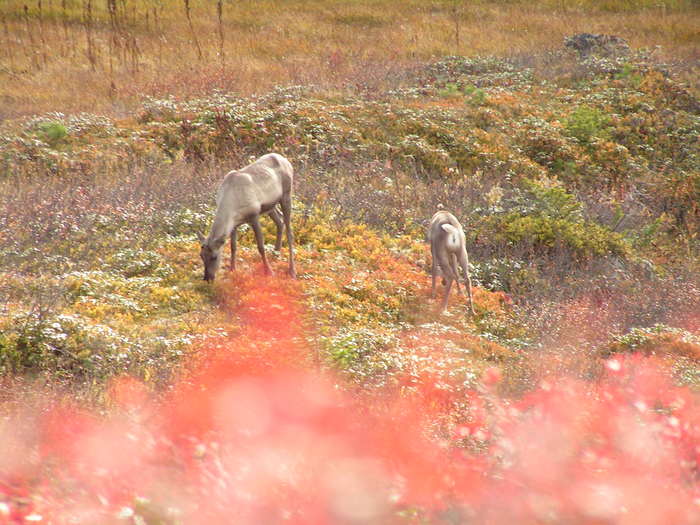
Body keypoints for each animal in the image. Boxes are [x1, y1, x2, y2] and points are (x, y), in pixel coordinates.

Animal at [197, 152, 296, 280]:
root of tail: (286, 161)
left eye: (214, 257)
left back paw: (292, 270)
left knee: (289, 232)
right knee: (279, 221)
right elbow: (233, 246)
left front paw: (269, 272)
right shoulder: (234, 224)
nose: (207, 278)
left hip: (286, 195)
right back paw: (276, 253)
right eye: (201, 255)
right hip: (270, 206)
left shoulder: (254, 215)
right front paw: (232, 269)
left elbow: (260, 246)